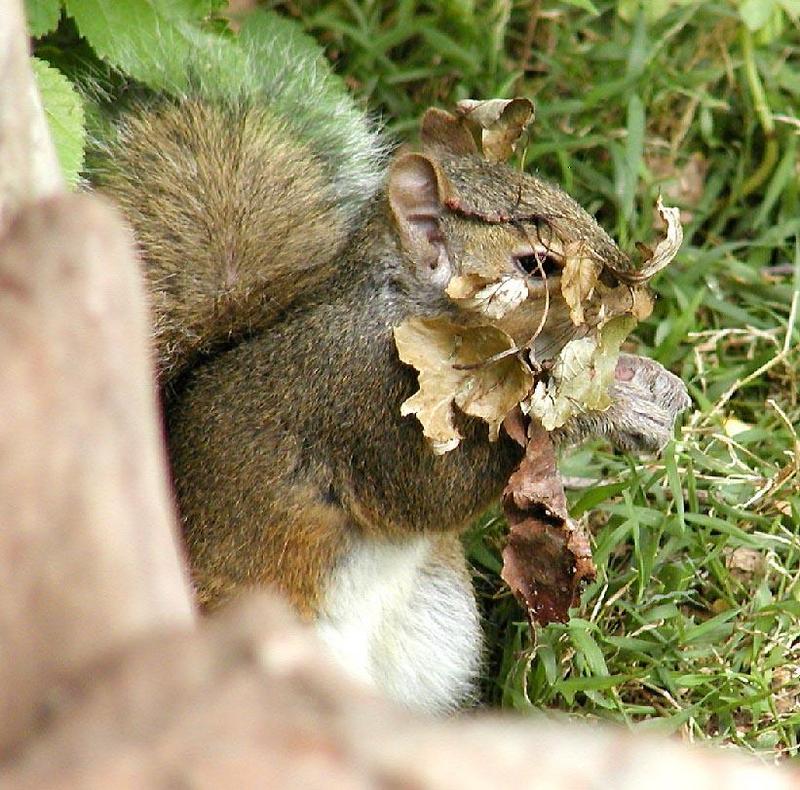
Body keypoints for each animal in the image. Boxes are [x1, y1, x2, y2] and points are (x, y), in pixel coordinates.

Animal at [86, 12, 688, 716]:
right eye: (536, 264)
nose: (631, 291)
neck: (409, 317)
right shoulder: (363, 400)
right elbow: (439, 491)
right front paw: (611, 412)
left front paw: (645, 385)